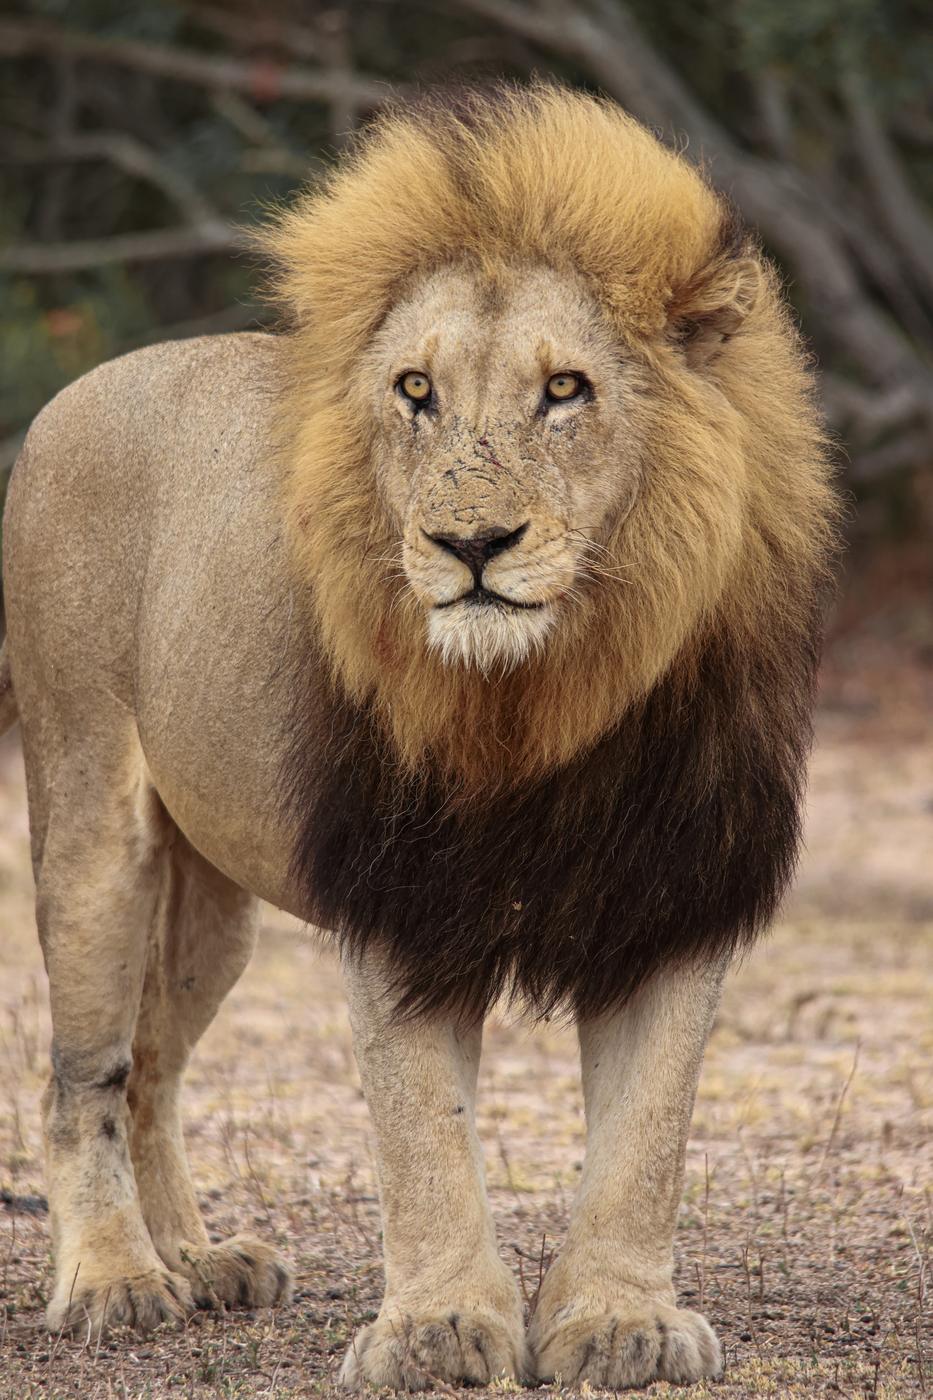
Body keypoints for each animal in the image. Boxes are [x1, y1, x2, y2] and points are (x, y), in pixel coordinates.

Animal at [0, 83, 835, 1389]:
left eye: (566, 389)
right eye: (414, 391)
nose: (471, 543)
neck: (541, 698)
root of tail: (73, 391)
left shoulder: (676, 888)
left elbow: (648, 1137)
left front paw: (620, 1318)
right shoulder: (402, 897)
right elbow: (421, 1139)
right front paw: (439, 1325)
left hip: (213, 906)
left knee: (154, 1065)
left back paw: (199, 1258)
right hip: (90, 811)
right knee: (80, 1073)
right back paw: (115, 1278)